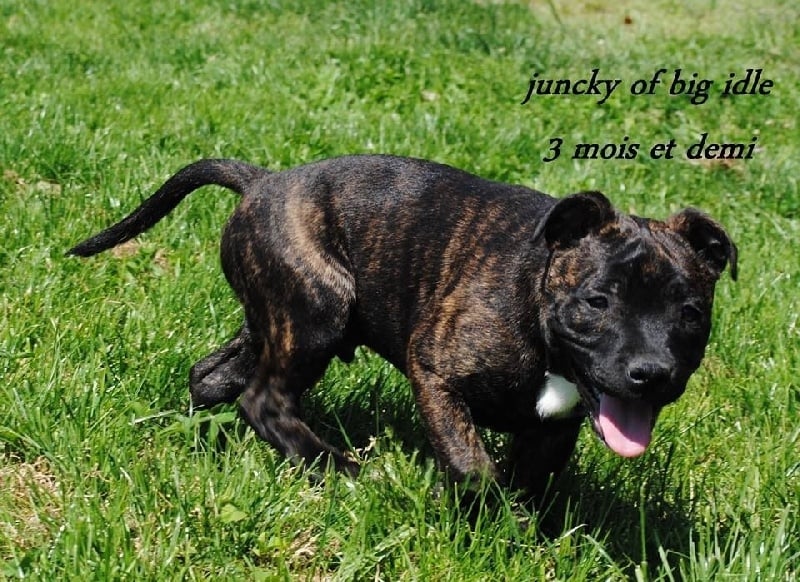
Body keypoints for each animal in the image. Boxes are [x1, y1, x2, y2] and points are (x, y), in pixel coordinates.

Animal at [68, 155, 737, 497]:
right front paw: (477, 511)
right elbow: (472, 467)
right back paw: (337, 469)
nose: (652, 373)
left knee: (214, 375)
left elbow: (525, 480)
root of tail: (262, 181)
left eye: (691, 315)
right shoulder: (437, 373)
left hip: (275, 320)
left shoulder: (553, 429)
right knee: (264, 399)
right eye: (597, 303)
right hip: (319, 310)